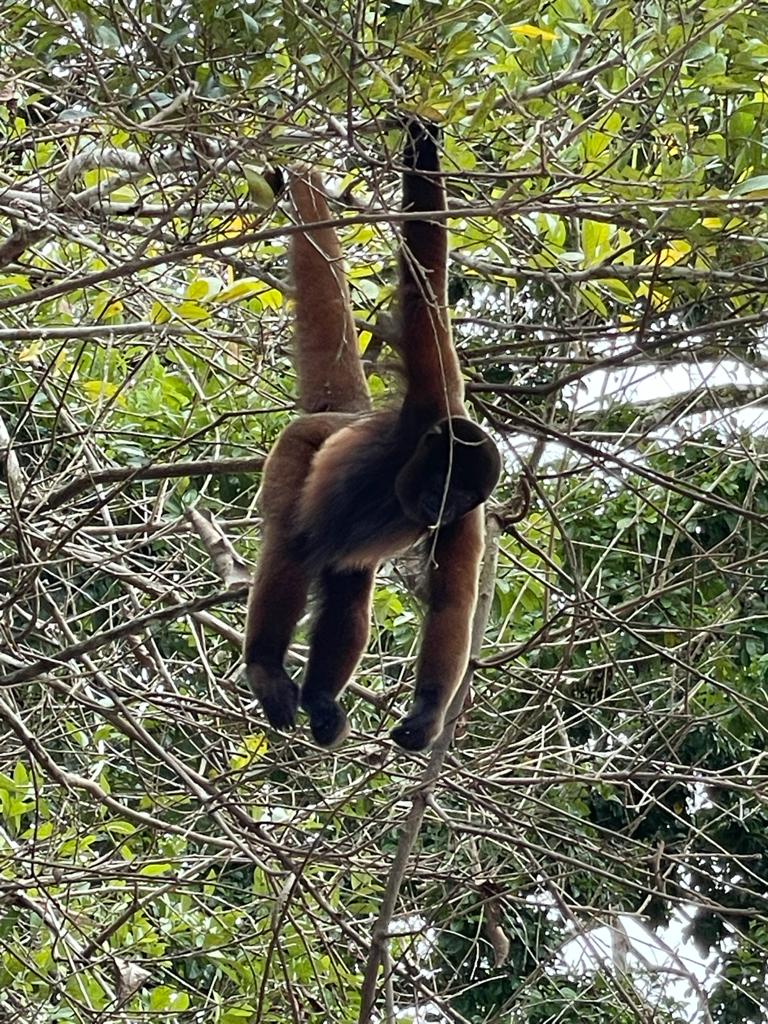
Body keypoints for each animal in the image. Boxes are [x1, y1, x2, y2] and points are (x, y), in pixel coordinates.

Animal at [243, 121, 501, 752]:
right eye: (443, 481)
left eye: (460, 494)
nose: (439, 506)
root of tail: (342, 415)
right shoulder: (434, 395)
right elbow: (423, 276)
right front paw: (422, 140)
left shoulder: (469, 518)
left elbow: (451, 603)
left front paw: (427, 713)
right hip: (294, 450)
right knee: (294, 542)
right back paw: (265, 667)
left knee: (347, 584)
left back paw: (320, 700)